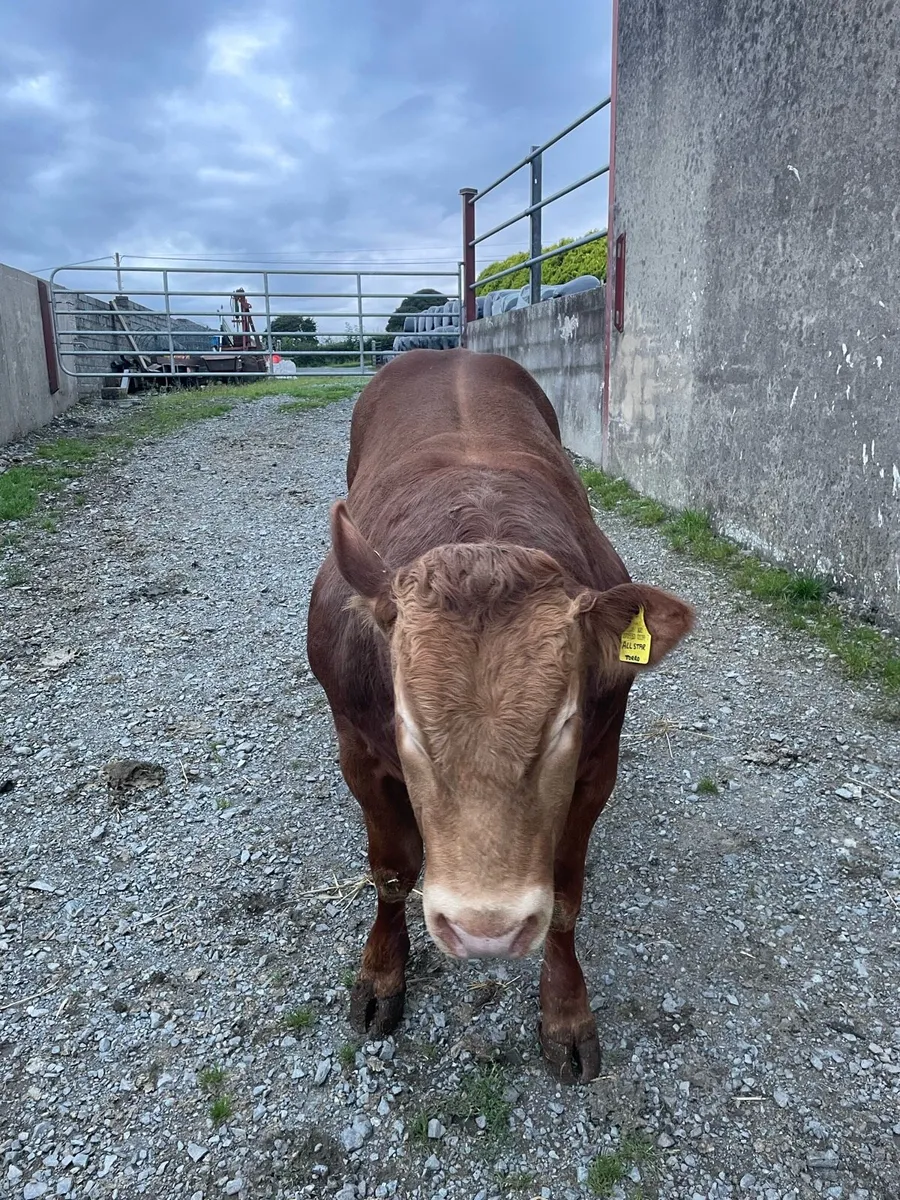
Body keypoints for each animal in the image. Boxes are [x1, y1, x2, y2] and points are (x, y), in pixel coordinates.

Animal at [306, 348, 694, 1083]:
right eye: (408, 726)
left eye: (562, 724)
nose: (486, 930)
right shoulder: (356, 749)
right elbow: (392, 870)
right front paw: (380, 976)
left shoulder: (598, 763)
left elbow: (565, 897)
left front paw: (566, 1013)